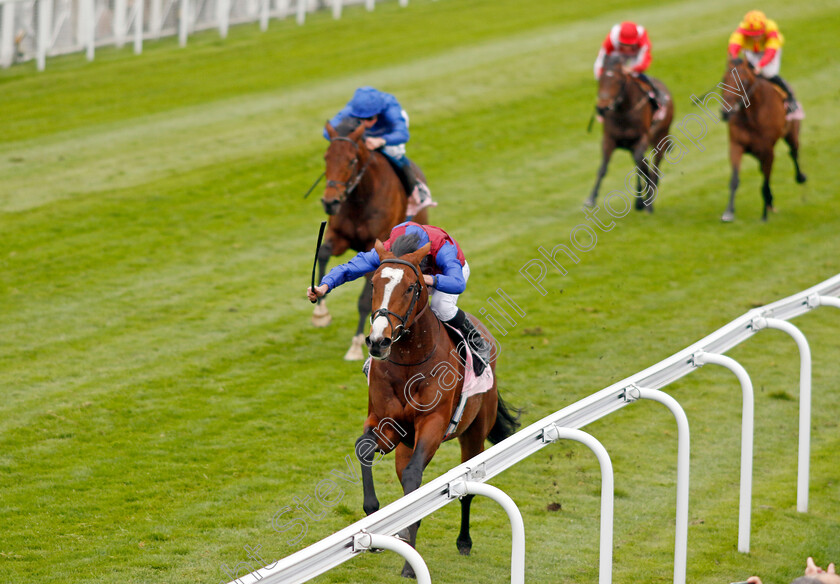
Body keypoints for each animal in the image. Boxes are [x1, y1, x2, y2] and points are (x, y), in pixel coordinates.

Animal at [316, 117, 430, 360]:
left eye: (351, 161)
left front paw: (356, 345)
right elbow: (323, 253)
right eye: (326, 157)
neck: (361, 199)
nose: (330, 202)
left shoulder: (376, 245)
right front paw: (320, 311)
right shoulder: (340, 237)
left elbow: (363, 300)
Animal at [352, 234, 520, 580]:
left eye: (410, 288)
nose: (377, 341)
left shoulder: (433, 423)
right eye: (374, 283)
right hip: (406, 444)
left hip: (474, 433)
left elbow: (416, 479)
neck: (408, 362)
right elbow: (365, 448)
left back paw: (464, 541)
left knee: (466, 488)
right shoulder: (387, 424)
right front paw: (373, 518)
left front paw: (408, 564)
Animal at [584, 54, 676, 212]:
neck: (624, 111)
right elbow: (603, 168)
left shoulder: (642, 137)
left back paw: (648, 199)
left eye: (618, 80)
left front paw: (646, 201)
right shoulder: (609, 139)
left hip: (661, 136)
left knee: (654, 167)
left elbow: (642, 165)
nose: (601, 108)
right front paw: (591, 198)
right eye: (600, 79)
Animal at [720, 57, 804, 221]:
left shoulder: (768, 150)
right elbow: (734, 180)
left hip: (791, 132)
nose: (725, 113)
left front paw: (764, 215)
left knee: (793, 151)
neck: (751, 115)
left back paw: (800, 177)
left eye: (744, 81)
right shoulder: (736, 145)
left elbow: (765, 182)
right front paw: (728, 212)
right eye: (724, 79)